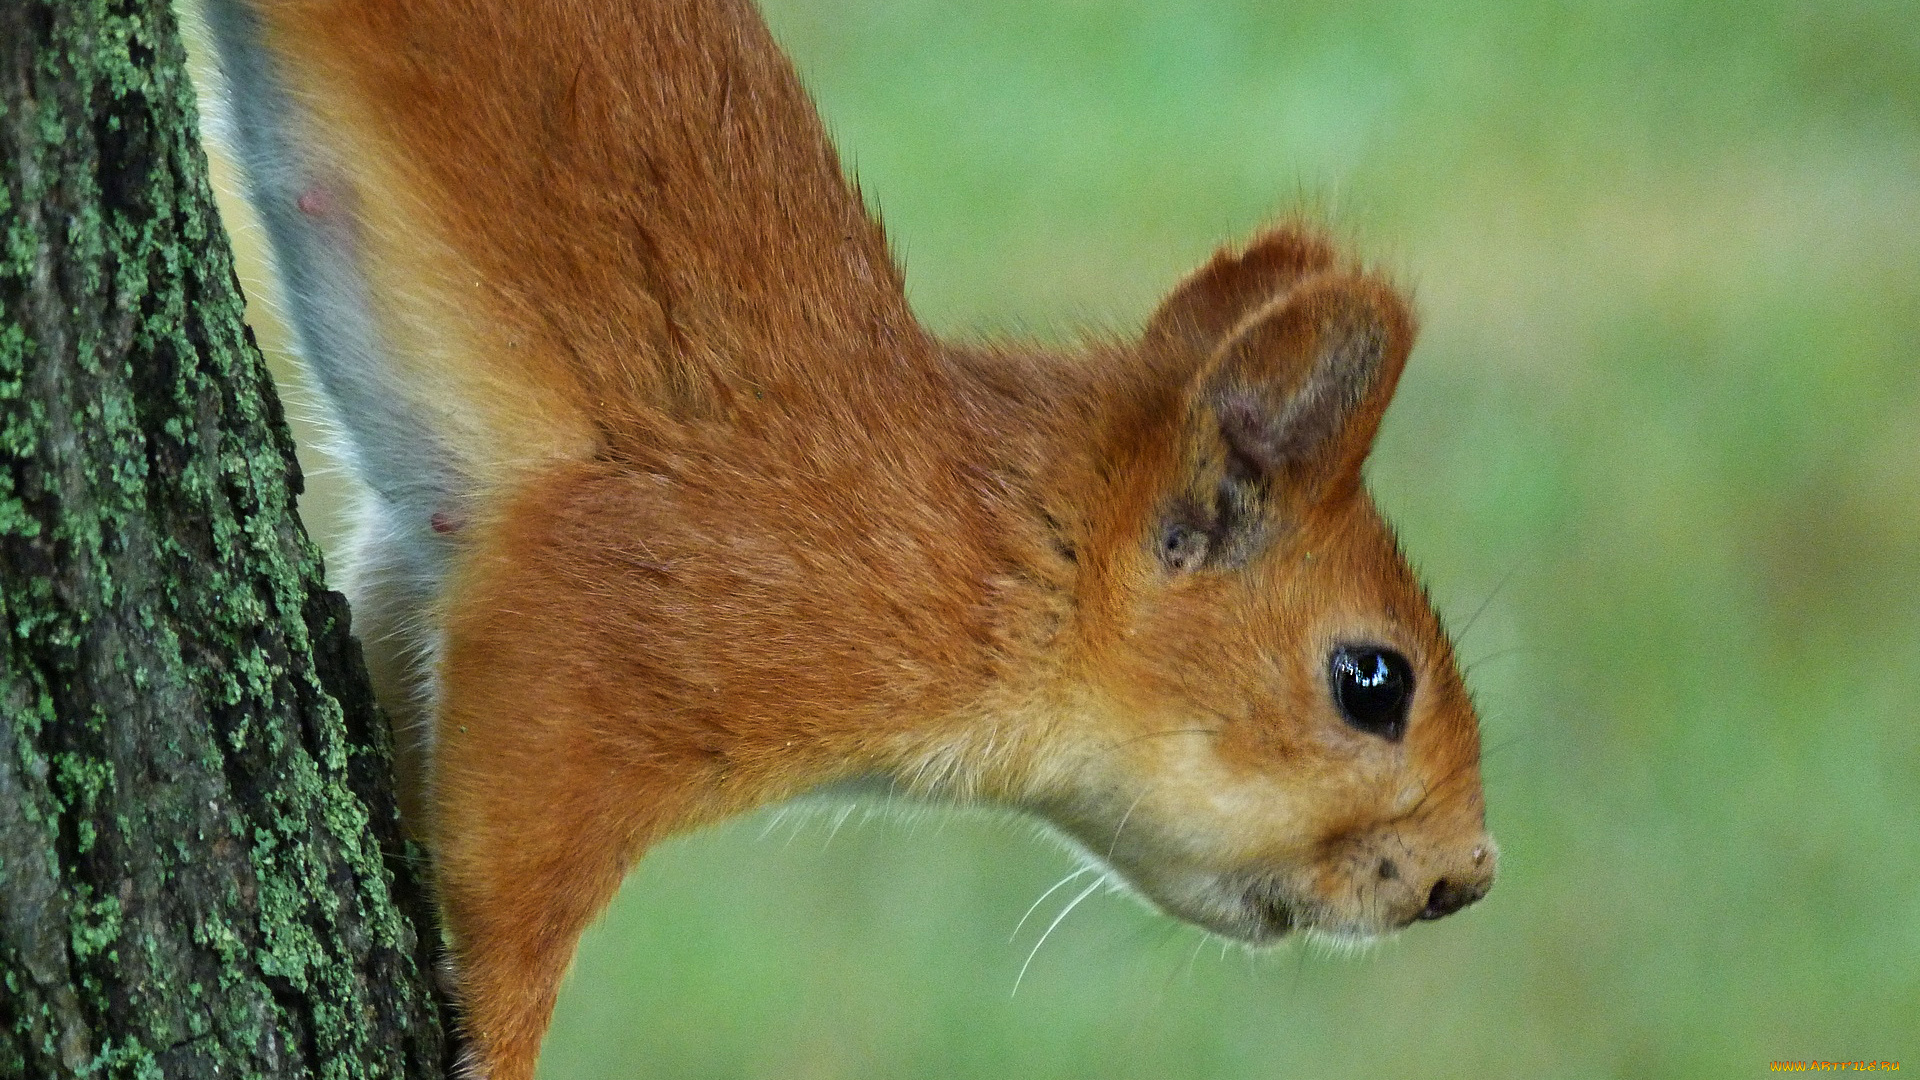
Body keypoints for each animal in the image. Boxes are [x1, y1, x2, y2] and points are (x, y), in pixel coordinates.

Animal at [206, 0, 1497, 1068]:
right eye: (1373, 683)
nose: (1468, 879)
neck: (1000, 553)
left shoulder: (416, 570)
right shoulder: (627, 607)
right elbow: (512, 873)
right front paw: (505, 1043)